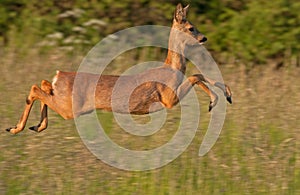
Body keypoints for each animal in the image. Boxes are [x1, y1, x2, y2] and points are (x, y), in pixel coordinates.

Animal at [6, 3, 232, 134]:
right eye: (191, 28)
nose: (204, 38)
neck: (171, 68)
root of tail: (59, 75)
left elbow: (198, 74)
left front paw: (226, 96)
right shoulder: (169, 99)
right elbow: (195, 75)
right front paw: (215, 100)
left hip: (64, 99)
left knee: (43, 85)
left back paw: (34, 126)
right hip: (71, 108)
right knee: (36, 88)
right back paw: (16, 128)